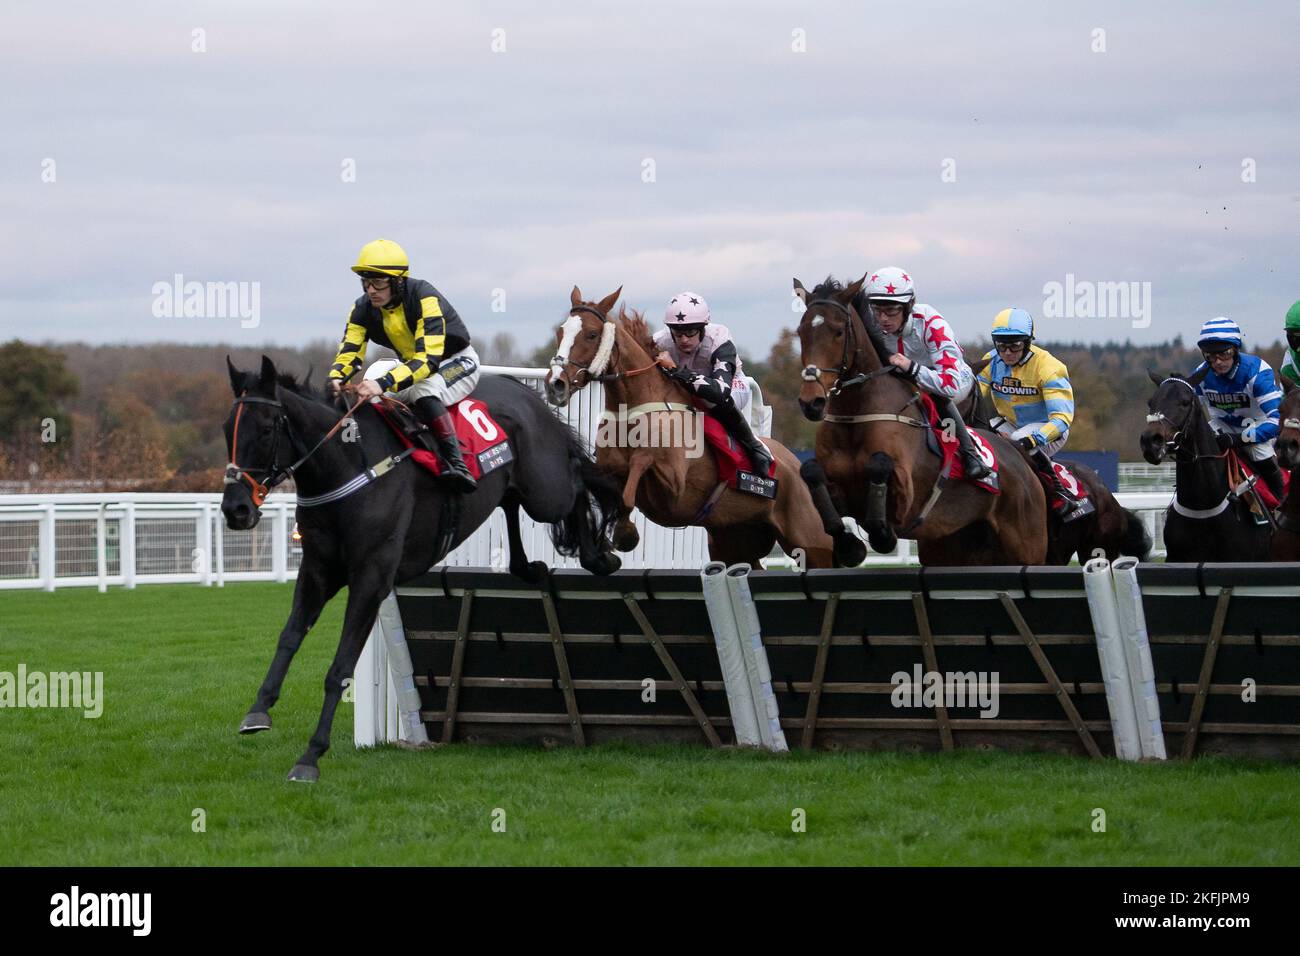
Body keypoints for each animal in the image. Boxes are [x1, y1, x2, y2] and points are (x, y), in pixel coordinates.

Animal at [223, 356, 624, 780]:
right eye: (226, 429)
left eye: (266, 429)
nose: (236, 509)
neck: (349, 466)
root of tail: (526, 394)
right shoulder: (318, 571)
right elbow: (289, 636)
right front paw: (258, 711)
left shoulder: (371, 577)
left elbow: (340, 667)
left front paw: (310, 756)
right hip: (514, 486)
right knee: (512, 501)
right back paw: (528, 567)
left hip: (545, 491)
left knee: (577, 478)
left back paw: (600, 556)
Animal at [540, 283, 832, 567]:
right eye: (560, 332)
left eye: (591, 334)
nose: (556, 384)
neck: (634, 409)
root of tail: (795, 462)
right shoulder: (609, 469)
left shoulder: (673, 486)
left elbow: (639, 466)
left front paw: (626, 534)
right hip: (734, 542)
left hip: (811, 542)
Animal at [785, 273, 1050, 564]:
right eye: (801, 332)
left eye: (838, 331)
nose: (812, 401)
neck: (855, 416)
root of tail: (1019, 456)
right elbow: (811, 472)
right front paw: (848, 545)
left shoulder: (907, 494)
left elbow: (879, 466)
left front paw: (882, 535)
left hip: (1027, 546)